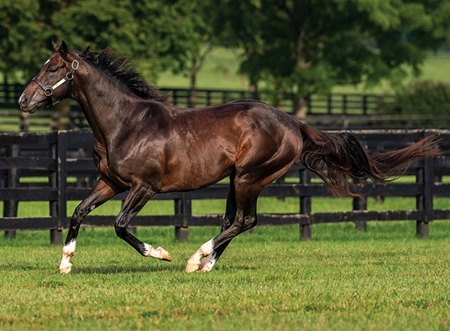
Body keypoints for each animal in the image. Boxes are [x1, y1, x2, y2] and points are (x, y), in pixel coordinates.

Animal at [19, 42, 438, 274]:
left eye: (53, 68)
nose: (23, 100)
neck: (125, 124)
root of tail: (293, 123)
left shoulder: (144, 187)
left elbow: (121, 226)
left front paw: (163, 254)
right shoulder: (110, 182)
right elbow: (77, 212)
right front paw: (65, 264)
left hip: (251, 176)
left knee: (245, 220)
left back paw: (195, 259)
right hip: (235, 178)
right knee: (232, 221)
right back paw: (206, 263)